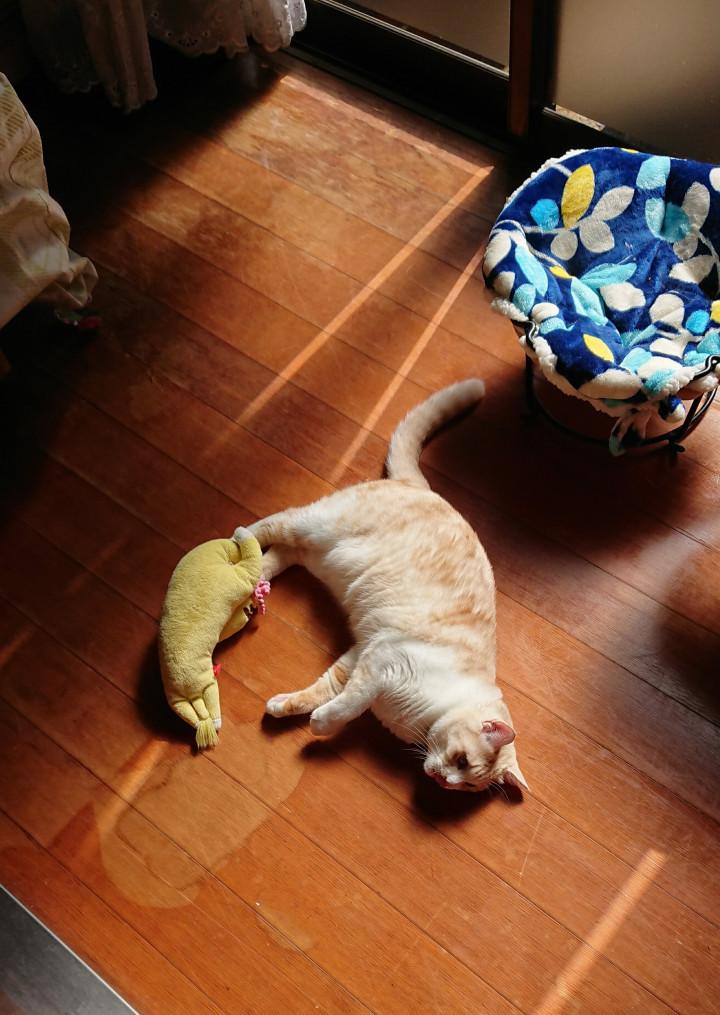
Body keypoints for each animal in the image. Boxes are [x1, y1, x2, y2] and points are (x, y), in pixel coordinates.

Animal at [246, 379, 528, 793]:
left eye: (467, 786)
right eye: (461, 761)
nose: (443, 781)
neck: (419, 724)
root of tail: (424, 488)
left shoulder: (361, 654)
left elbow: (326, 688)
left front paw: (284, 707)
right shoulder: (381, 665)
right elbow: (348, 707)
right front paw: (320, 724)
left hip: (319, 554)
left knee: (280, 553)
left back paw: (251, 583)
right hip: (317, 526)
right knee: (271, 524)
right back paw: (233, 544)